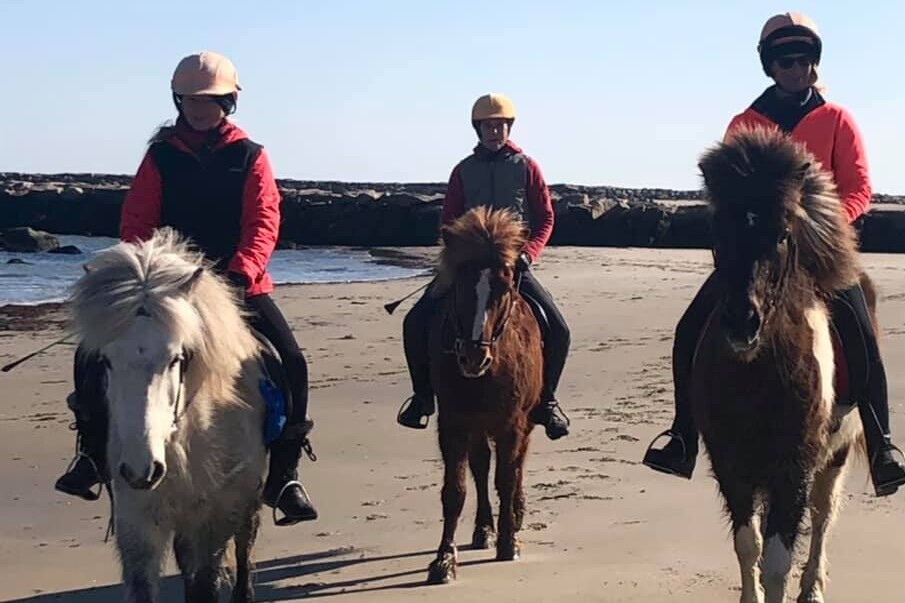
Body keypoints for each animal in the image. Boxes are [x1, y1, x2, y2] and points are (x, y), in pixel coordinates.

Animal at [68, 228, 266, 603]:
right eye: (106, 360)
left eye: (176, 358)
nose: (141, 470)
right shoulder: (137, 520)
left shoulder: (216, 517)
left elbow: (206, 583)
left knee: (245, 544)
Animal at [422, 206, 540, 584]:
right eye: (460, 284)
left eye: (504, 286)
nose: (474, 357)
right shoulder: (454, 424)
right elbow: (455, 491)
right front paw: (444, 560)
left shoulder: (512, 425)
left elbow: (507, 477)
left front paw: (509, 542)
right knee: (481, 467)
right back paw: (483, 529)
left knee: (516, 465)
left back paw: (514, 516)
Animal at [692, 127, 868, 603]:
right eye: (718, 228)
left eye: (783, 234)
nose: (742, 321)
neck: (756, 374)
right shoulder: (731, 461)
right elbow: (748, 546)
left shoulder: (795, 464)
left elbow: (777, 561)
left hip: (837, 451)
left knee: (824, 514)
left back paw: (813, 587)